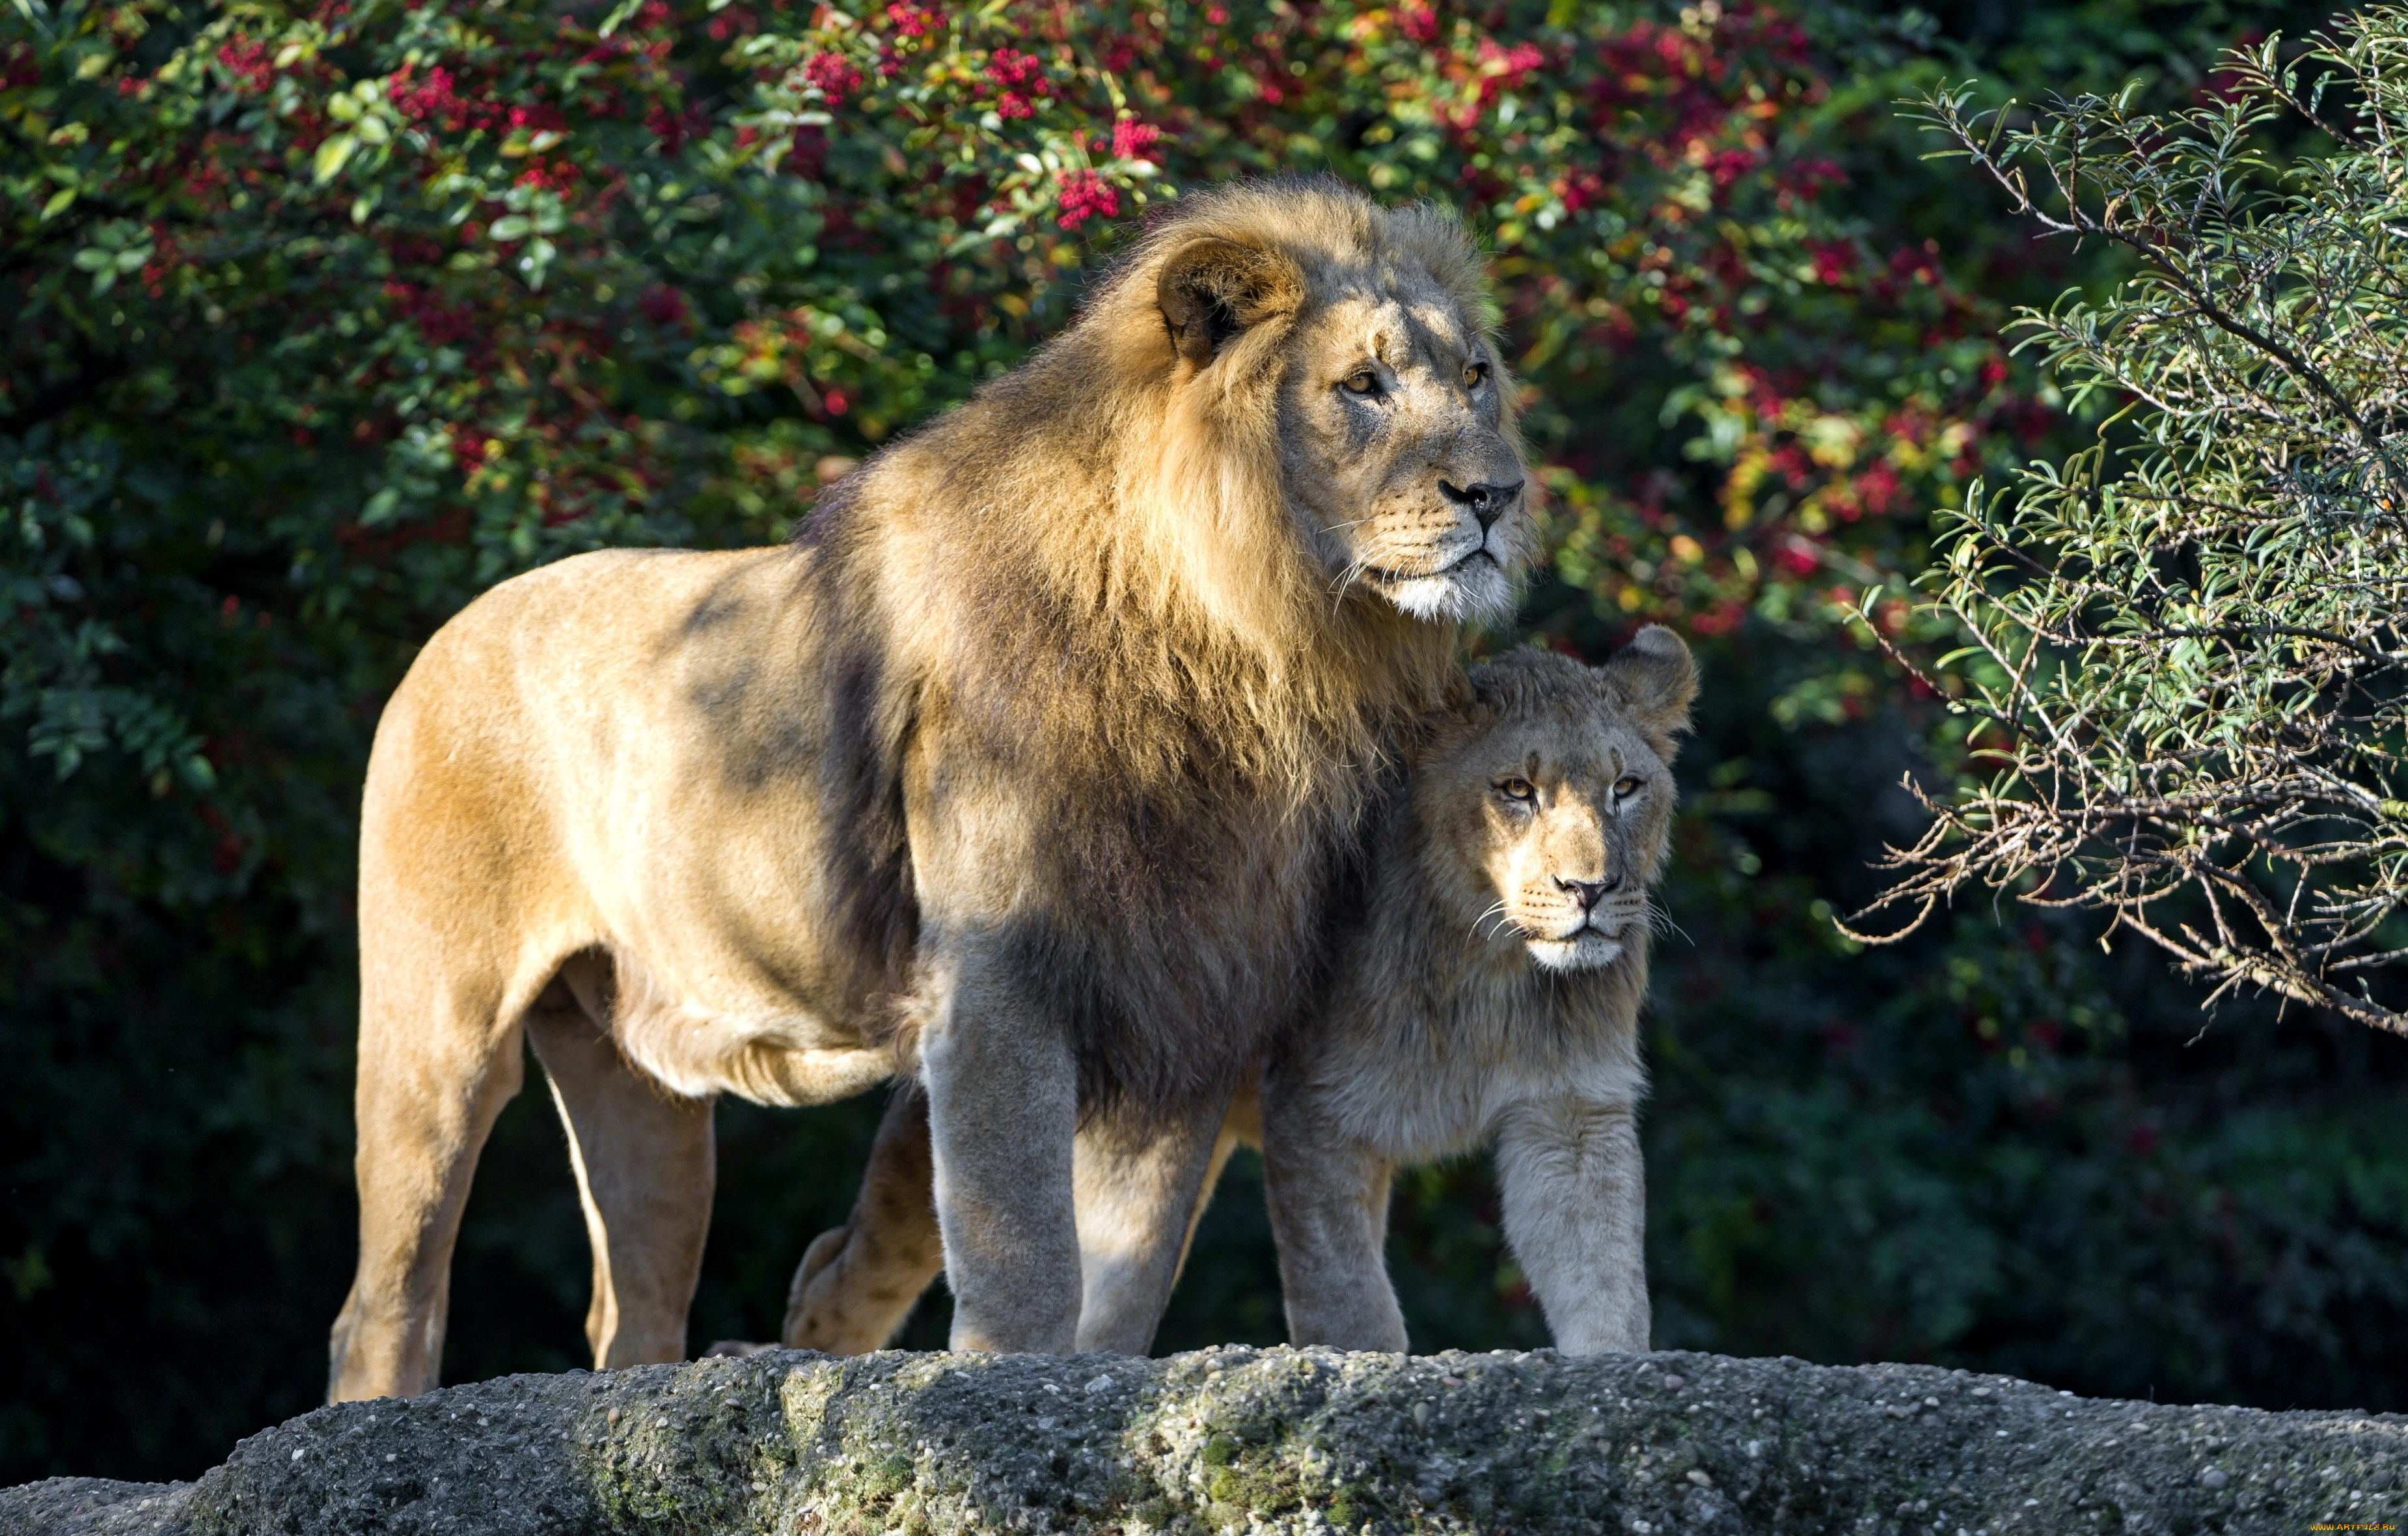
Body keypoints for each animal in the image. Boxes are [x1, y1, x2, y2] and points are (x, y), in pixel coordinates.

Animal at [325, 180, 1522, 1406]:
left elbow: (1126, 1277)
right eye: (1362, 386)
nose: (1497, 493)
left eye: (1476, 376)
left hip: (641, 1086)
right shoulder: (1001, 970)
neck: (1257, 645)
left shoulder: (1187, 995)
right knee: (387, 1298)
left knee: (634, 1307)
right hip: (435, 1030)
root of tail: (449, 632)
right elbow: (1025, 1250)